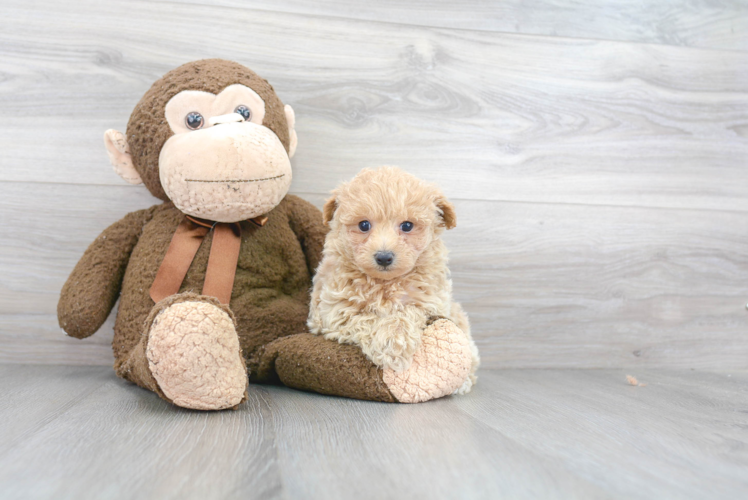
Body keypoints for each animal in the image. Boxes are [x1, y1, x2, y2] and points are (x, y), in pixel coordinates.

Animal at [308, 166, 480, 392]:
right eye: (364, 225)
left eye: (407, 226)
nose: (383, 257)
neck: (385, 283)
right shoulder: (335, 310)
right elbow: (366, 318)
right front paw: (390, 345)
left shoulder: (432, 302)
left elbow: (407, 310)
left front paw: (394, 338)